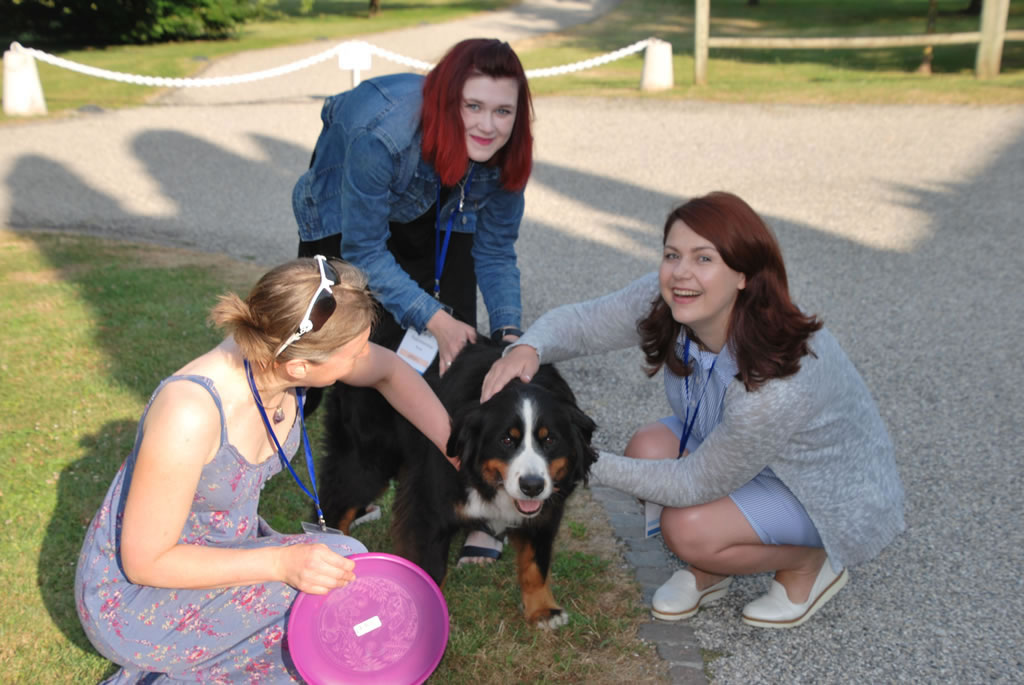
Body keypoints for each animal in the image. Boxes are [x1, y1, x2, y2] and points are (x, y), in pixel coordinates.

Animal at [319, 339, 598, 626]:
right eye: (507, 440)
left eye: (550, 439)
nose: (532, 486)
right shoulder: (430, 507)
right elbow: (431, 567)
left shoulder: (548, 508)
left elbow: (536, 560)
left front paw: (543, 610)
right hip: (368, 462)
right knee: (337, 503)